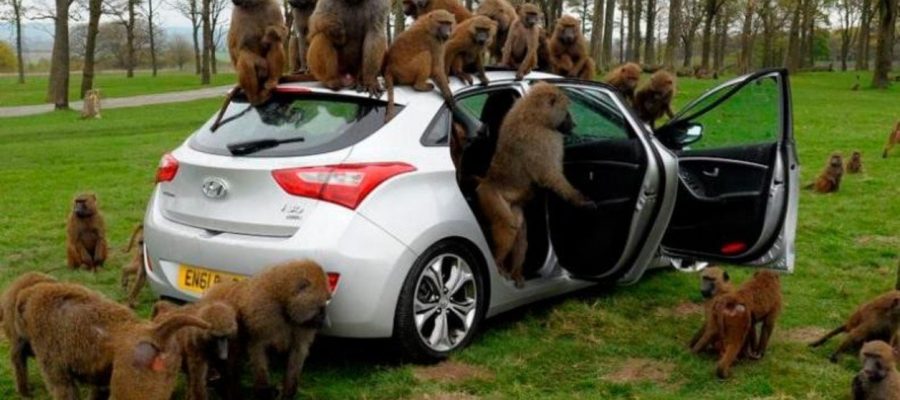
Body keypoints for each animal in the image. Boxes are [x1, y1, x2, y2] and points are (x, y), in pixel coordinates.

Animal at [203, 260, 331, 400]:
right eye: (321, 307)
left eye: (326, 303)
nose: (324, 322)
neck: (282, 301)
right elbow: (258, 349)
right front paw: (263, 392)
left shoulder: (302, 324)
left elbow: (298, 351)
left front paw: (288, 393)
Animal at [476, 83, 596, 287]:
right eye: (566, 113)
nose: (574, 125)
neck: (536, 116)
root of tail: (484, 182)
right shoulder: (545, 140)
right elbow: (551, 176)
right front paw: (580, 200)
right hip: (488, 197)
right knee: (508, 227)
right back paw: (498, 266)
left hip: (513, 205)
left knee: (520, 234)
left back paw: (515, 273)